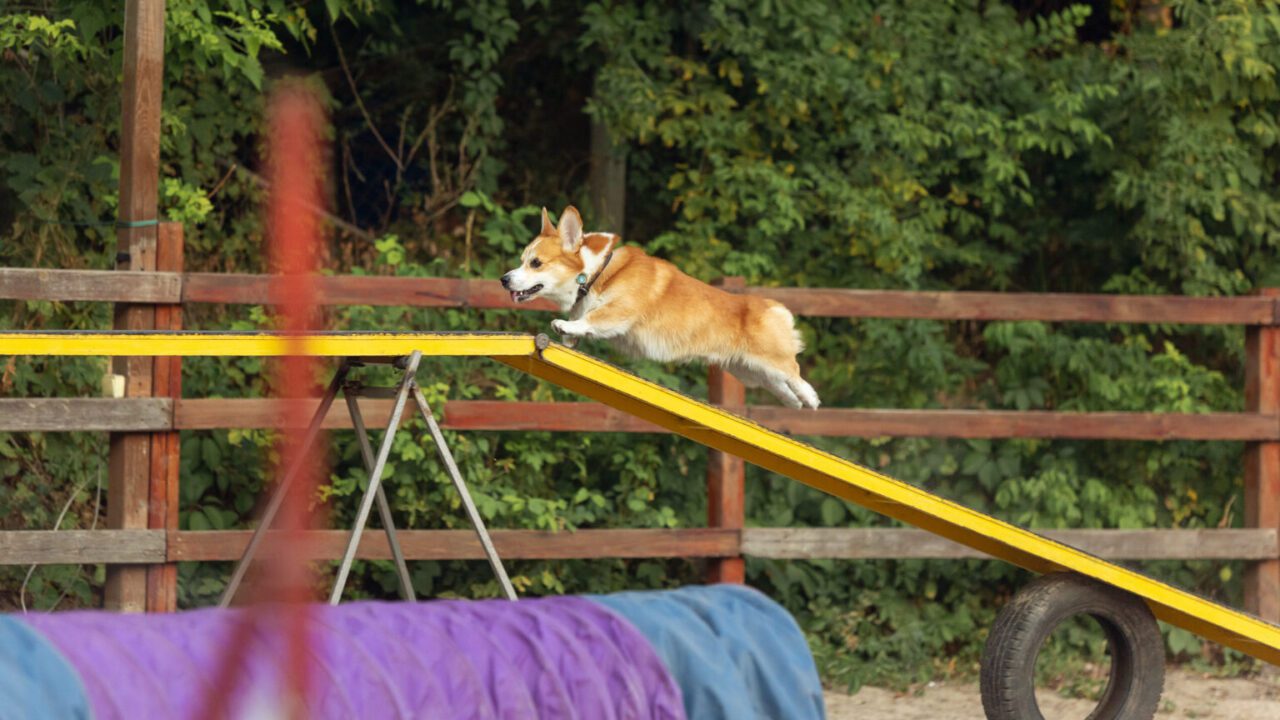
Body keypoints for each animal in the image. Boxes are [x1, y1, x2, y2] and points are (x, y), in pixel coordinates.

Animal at [499, 207, 819, 409]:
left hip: (769, 359)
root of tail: (770, 305)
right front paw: (568, 333)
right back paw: (794, 402)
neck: (595, 274)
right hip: (747, 370)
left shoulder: (620, 312)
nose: (504, 279)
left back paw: (811, 397)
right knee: (779, 384)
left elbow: (593, 318)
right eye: (522, 260)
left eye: (536, 263)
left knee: (794, 371)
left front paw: (564, 325)